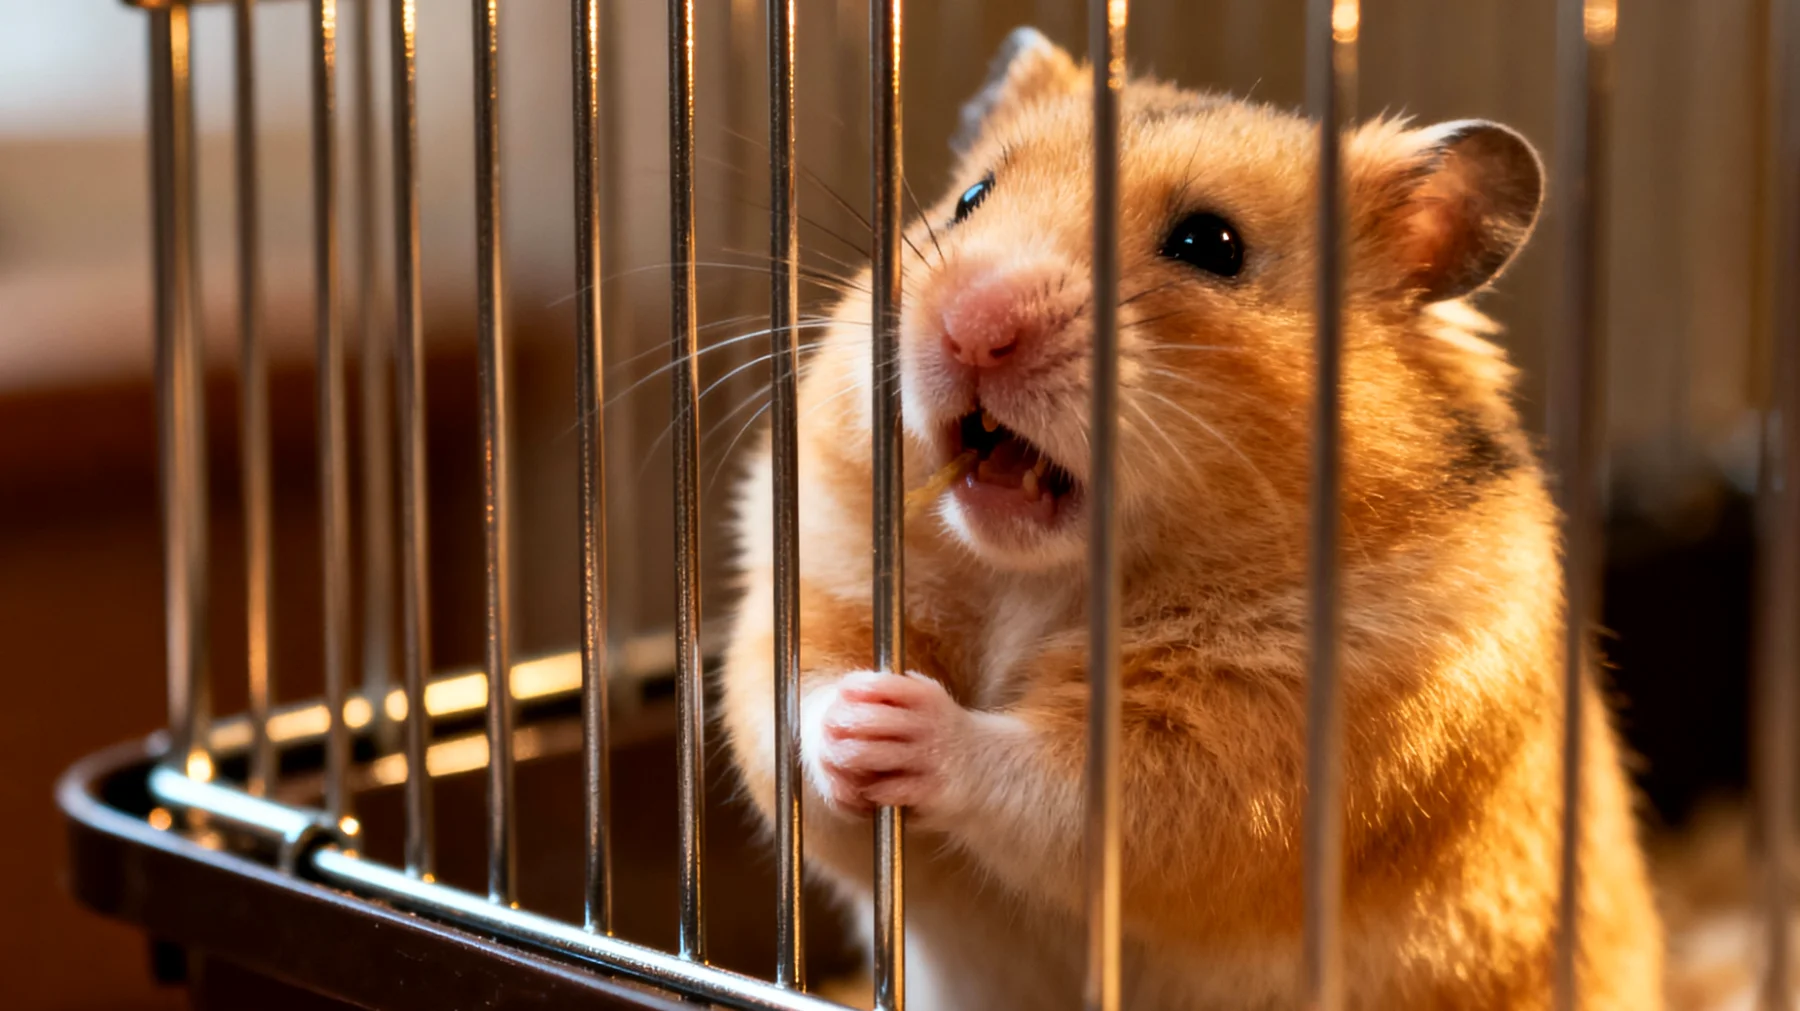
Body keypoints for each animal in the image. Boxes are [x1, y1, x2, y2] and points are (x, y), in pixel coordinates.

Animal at [719, 26, 1663, 1011]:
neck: (1039, 579)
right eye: (971, 199)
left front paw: (904, 723)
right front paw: (855, 717)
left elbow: (1066, 788)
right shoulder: (814, 572)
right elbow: (787, 701)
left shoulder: (1260, 745)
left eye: (1211, 244)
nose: (972, 325)